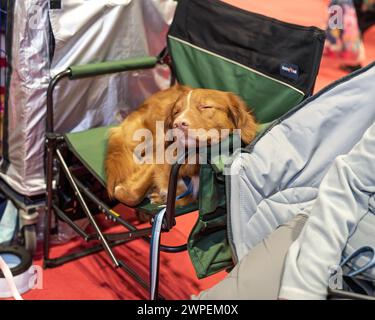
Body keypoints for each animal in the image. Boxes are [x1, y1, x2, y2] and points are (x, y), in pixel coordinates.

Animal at [106, 84, 258, 208]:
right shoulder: (159, 154)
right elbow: (129, 195)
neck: (194, 161)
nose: (178, 124)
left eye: (205, 107)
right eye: (176, 112)